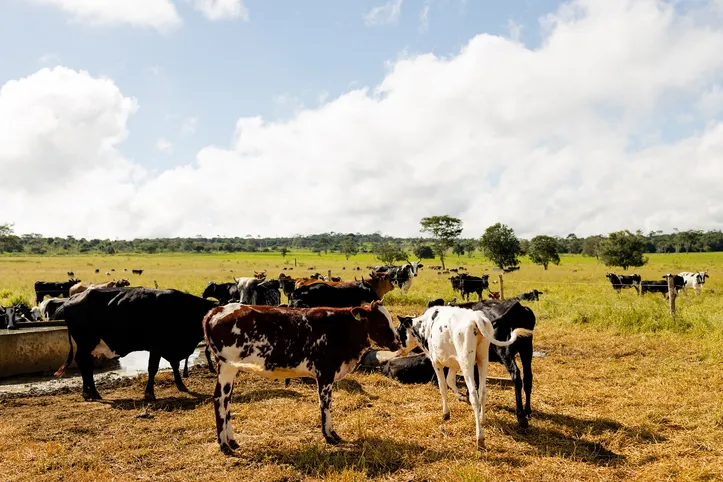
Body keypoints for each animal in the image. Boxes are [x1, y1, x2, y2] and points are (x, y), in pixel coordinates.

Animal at [51, 288, 218, 402]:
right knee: (83, 363)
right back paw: (89, 393)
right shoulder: (157, 347)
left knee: (86, 365)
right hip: (86, 343)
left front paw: (181, 385)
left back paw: (92, 393)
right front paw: (149, 393)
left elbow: (175, 365)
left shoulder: (169, 348)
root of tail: (71, 299)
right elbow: (153, 369)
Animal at [202, 300, 402, 454]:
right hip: (227, 366)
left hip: (230, 368)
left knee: (227, 399)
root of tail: (218, 310)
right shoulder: (325, 374)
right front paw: (329, 436)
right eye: (382, 323)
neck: (341, 329)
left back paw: (232, 441)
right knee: (219, 398)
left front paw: (332, 434)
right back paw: (224, 445)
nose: (398, 343)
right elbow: (325, 405)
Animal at [396, 306, 532, 450]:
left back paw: (480, 438)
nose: (397, 349)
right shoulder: (454, 363)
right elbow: (450, 380)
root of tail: (476, 318)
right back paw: (483, 419)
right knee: (483, 391)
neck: (425, 325)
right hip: (483, 358)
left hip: (467, 361)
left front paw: (446, 413)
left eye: (399, 331)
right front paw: (461, 396)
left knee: (474, 395)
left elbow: (443, 387)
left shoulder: (436, 362)